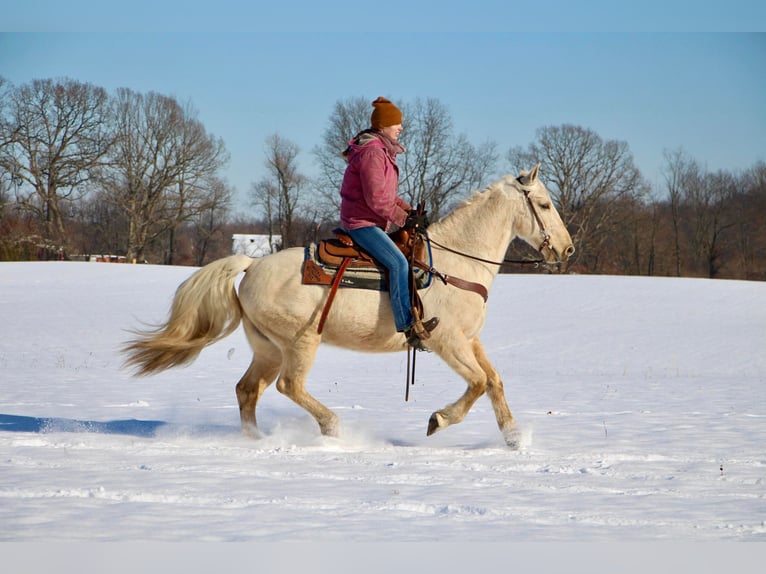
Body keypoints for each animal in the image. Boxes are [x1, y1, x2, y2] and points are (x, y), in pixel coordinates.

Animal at [123, 164, 572, 448]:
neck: (456, 263)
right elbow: (477, 383)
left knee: (248, 389)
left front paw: (513, 438)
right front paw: (438, 419)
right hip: (300, 342)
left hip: (268, 347)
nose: (567, 249)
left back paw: (257, 439)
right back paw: (333, 429)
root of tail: (251, 265)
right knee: (289, 386)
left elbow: (494, 381)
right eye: (544, 205)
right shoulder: (446, 340)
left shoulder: (470, 339)